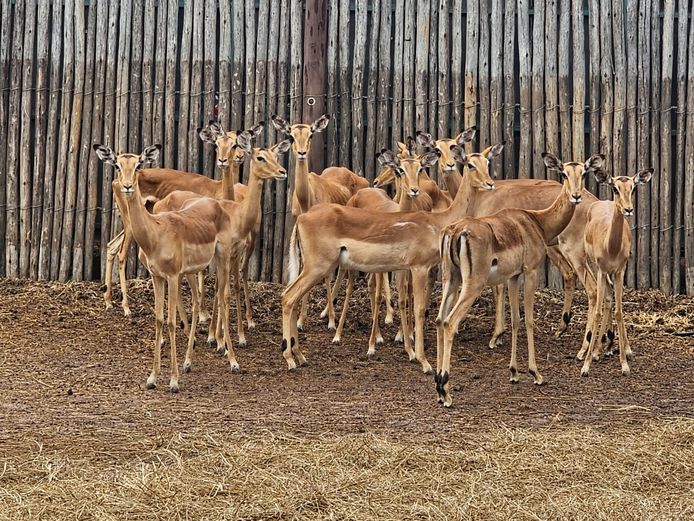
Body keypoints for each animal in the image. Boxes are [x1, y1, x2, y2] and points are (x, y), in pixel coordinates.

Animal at [93, 144, 239, 393]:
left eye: (139, 164)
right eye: (117, 165)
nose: (127, 186)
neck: (156, 233)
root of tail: (215, 203)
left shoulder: (171, 276)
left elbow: (171, 322)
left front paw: (173, 380)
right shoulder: (157, 277)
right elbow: (160, 319)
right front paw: (152, 377)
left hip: (222, 258)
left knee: (223, 297)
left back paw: (233, 361)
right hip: (191, 271)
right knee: (198, 302)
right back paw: (189, 362)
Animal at [271, 114, 369, 331]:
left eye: (310, 135)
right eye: (291, 135)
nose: (301, 153)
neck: (307, 198)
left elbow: (325, 276)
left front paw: (332, 322)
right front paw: (300, 320)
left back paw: (329, 314)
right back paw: (324, 311)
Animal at [280, 132, 497, 374]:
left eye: (487, 163)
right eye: (470, 164)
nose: (490, 184)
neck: (437, 221)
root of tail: (303, 218)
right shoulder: (419, 268)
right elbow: (419, 308)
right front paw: (423, 361)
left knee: (290, 297)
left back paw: (300, 356)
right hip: (317, 267)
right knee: (288, 298)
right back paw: (291, 359)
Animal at [434, 152, 604, 407]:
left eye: (583, 173)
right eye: (564, 173)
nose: (576, 196)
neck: (536, 221)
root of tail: (455, 232)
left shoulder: (514, 277)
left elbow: (515, 320)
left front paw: (514, 371)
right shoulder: (530, 272)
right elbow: (529, 320)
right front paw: (536, 373)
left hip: (450, 280)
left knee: (438, 320)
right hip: (472, 284)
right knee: (449, 322)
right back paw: (445, 390)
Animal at [578, 168, 653, 377]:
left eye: (633, 188)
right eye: (615, 188)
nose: (628, 209)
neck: (610, 246)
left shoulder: (620, 272)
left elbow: (620, 311)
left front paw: (624, 364)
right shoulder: (602, 271)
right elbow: (597, 311)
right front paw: (586, 366)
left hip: (610, 275)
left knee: (610, 298)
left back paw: (617, 350)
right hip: (595, 269)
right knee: (604, 298)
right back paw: (594, 351)